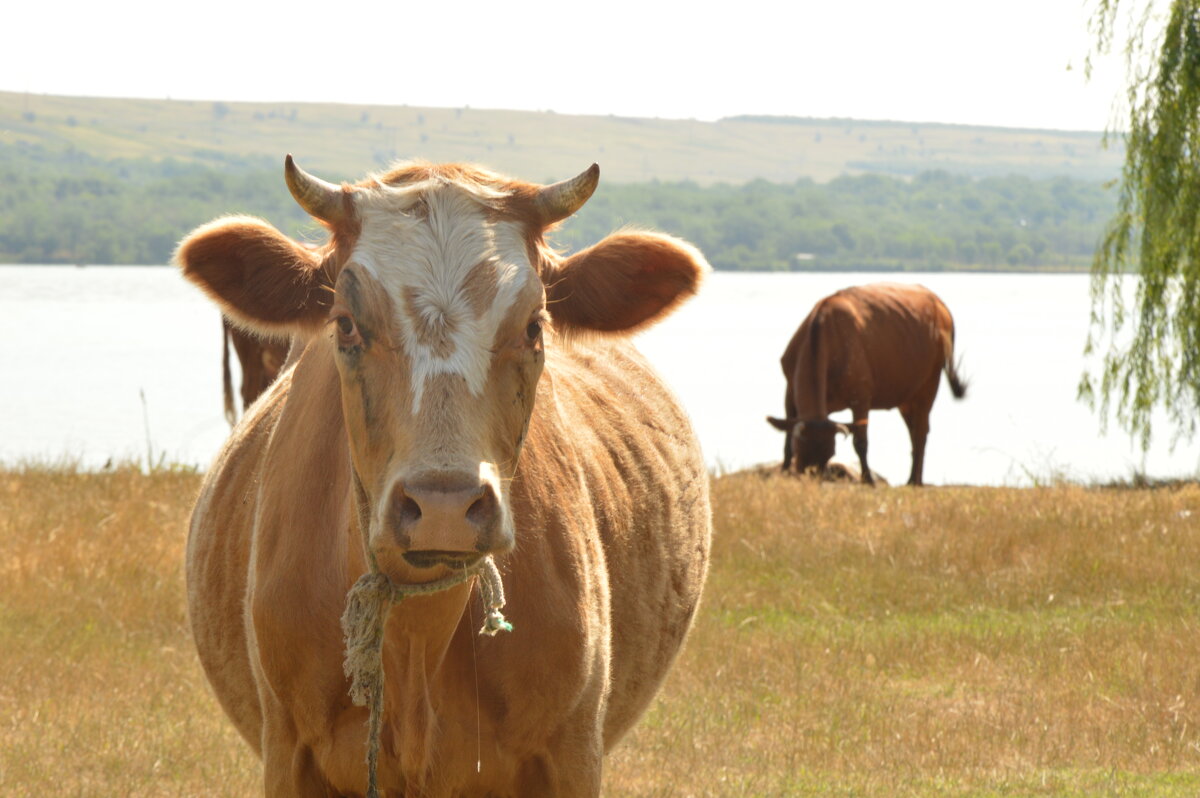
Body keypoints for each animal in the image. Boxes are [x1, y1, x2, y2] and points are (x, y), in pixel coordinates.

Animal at [175, 157, 710, 796]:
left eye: (535, 326)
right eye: (346, 325)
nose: (444, 507)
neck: (416, 644)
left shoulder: (573, 752)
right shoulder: (287, 751)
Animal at [768, 283, 964, 489]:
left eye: (831, 454)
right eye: (800, 452)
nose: (812, 480)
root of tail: (940, 304)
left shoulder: (861, 396)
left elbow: (860, 442)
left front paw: (868, 479)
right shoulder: (789, 390)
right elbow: (786, 438)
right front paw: (783, 473)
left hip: (930, 381)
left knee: (921, 431)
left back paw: (914, 481)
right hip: (906, 395)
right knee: (913, 430)